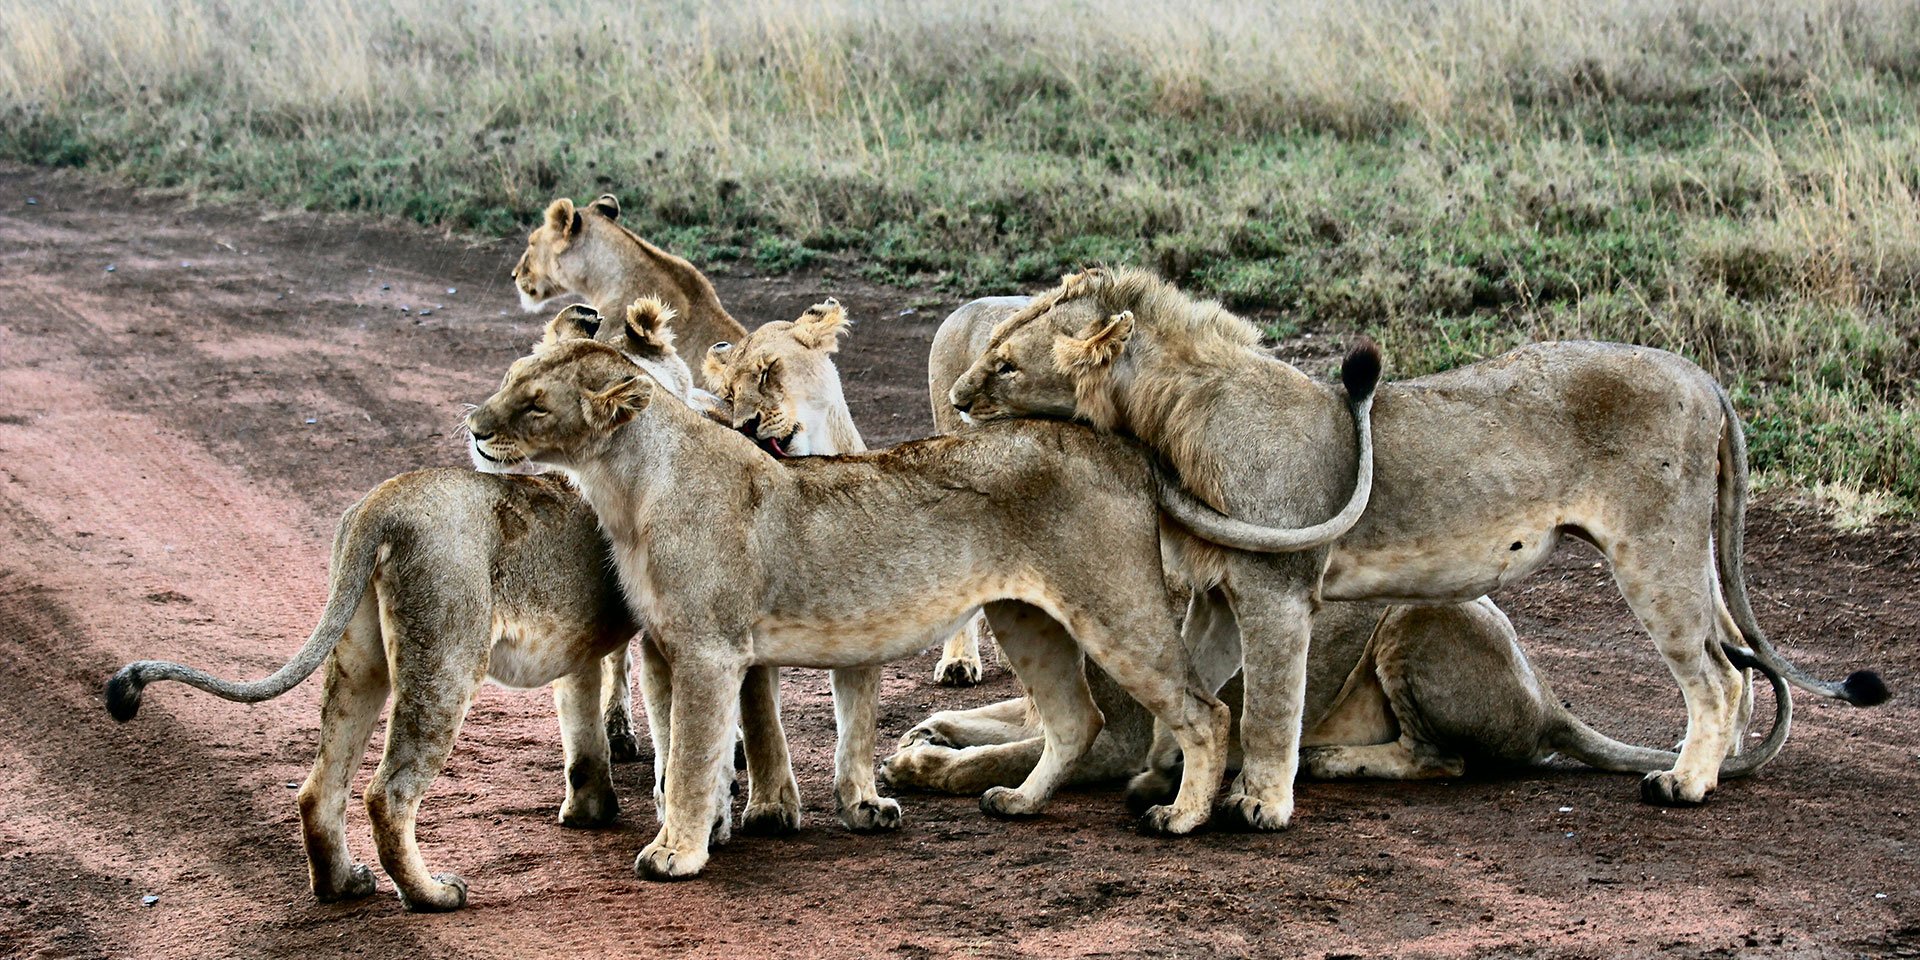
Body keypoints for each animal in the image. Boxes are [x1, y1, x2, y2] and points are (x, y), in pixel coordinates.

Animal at [97, 303, 787, 910]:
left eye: (531, 396)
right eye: (511, 382)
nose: (477, 427)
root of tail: (381, 504)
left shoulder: (577, 644)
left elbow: (581, 729)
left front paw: (591, 809)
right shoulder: (655, 635)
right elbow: (678, 738)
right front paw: (703, 818)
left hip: (359, 663)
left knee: (320, 787)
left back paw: (341, 885)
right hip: (445, 659)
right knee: (388, 793)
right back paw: (431, 895)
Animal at [456, 314, 1374, 879]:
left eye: (534, 405)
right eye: (510, 380)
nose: (473, 424)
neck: (624, 483)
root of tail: (1114, 441)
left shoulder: (709, 650)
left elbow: (690, 758)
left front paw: (677, 853)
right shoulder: (666, 648)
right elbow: (707, 752)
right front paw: (722, 826)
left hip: (1114, 607)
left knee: (1201, 711)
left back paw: (1181, 817)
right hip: (1025, 616)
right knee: (1078, 719)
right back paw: (1019, 802)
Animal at [948, 266, 1889, 829]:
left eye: (1006, 366)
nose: (955, 398)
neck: (1163, 418)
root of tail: (1701, 374)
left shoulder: (1277, 589)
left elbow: (1269, 705)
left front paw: (1259, 805)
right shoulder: (1220, 593)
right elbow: (1201, 692)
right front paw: (1172, 782)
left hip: (1653, 552)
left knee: (1717, 675)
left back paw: (1689, 783)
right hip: (1677, 556)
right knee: (1732, 664)